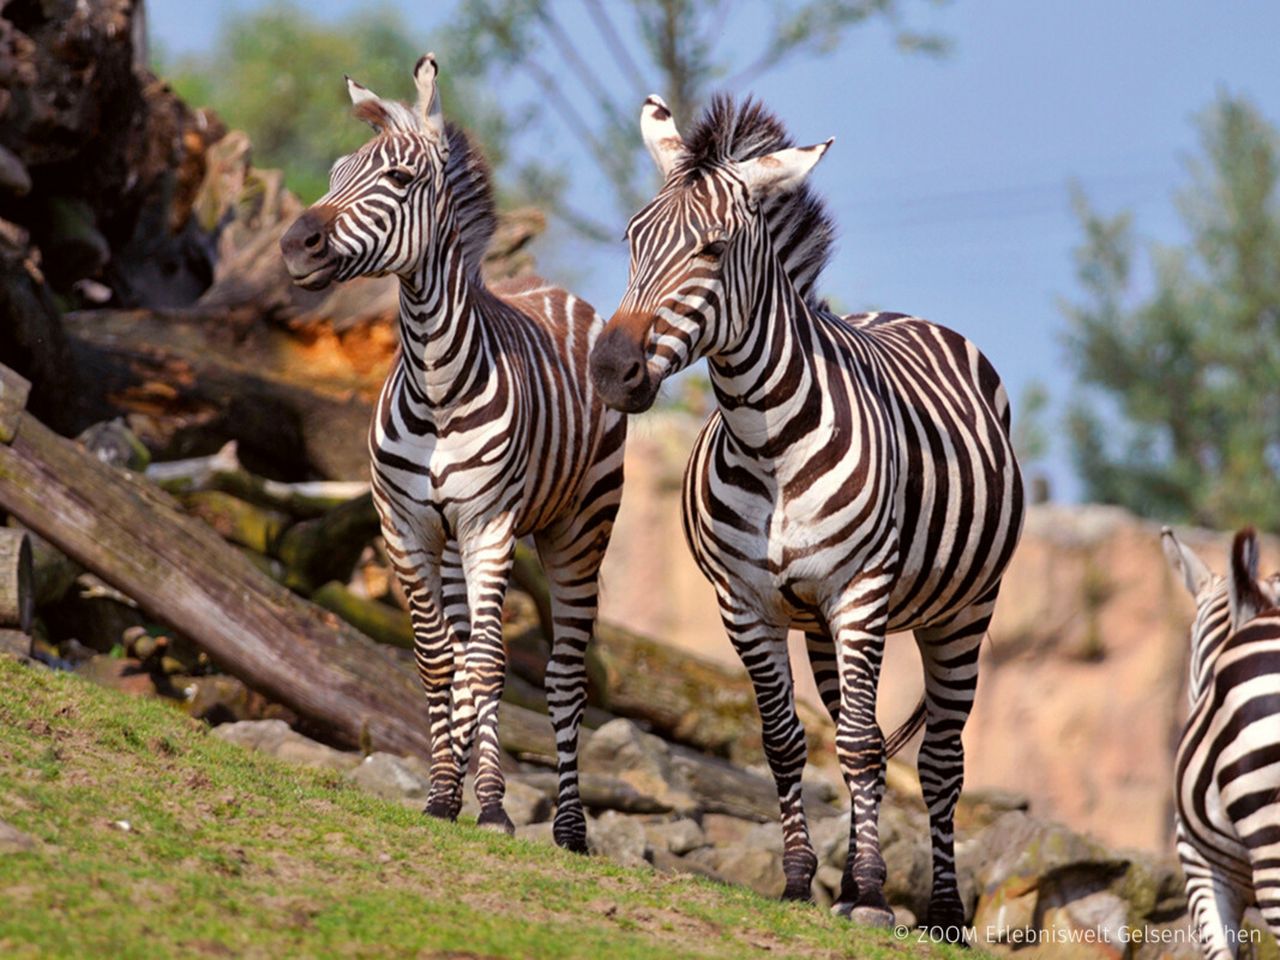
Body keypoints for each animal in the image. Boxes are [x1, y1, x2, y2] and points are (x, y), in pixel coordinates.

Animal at [279, 54, 624, 849]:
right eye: (336, 171)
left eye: (400, 179)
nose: (293, 245)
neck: (436, 383)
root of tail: (553, 289)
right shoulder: (405, 527)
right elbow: (441, 662)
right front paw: (443, 794)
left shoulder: (489, 527)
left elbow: (494, 665)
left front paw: (494, 806)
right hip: (455, 542)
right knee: (466, 653)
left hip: (578, 532)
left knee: (562, 674)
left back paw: (568, 827)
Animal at [586, 94, 1018, 936]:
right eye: (631, 237)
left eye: (714, 249)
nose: (611, 371)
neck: (768, 444)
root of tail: (906, 315)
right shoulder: (744, 603)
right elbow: (788, 742)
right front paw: (800, 881)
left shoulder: (860, 594)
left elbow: (857, 746)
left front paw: (876, 895)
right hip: (819, 626)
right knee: (869, 738)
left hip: (962, 612)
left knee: (937, 759)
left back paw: (942, 910)